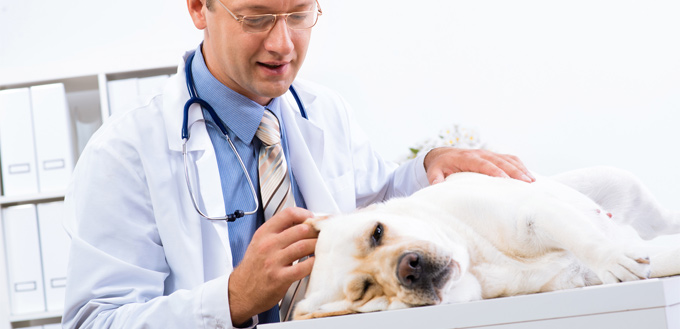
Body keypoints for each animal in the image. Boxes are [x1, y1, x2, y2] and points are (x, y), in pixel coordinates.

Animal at [294, 167, 680, 318]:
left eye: (377, 232)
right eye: (364, 290)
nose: (408, 267)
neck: (476, 263)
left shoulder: (534, 213)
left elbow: (585, 238)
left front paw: (613, 259)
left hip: (627, 189)